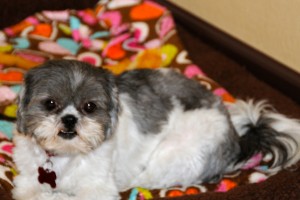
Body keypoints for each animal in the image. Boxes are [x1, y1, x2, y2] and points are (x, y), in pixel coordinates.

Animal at [12, 59, 300, 200]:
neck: (64, 158)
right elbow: (28, 193)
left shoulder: (98, 190)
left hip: (175, 154)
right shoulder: (26, 179)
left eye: (90, 107)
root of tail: (235, 136)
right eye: (50, 104)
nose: (70, 119)